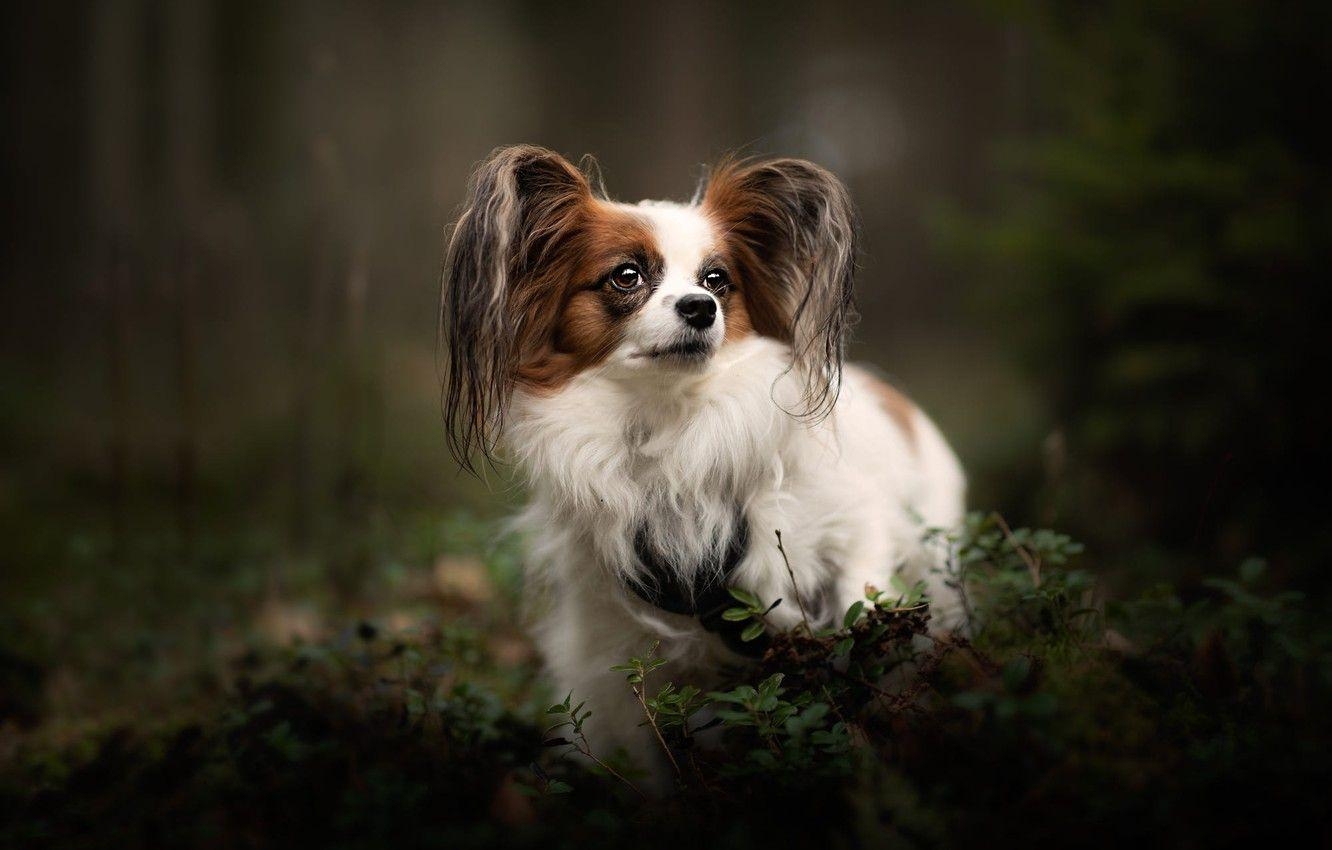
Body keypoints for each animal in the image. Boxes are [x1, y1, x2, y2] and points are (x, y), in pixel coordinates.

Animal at [442, 146, 964, 788]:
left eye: (717, 280)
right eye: (627, 276)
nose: (700, 307)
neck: (671, 421)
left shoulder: (852, 520)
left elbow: (861, 591)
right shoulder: (620, 643)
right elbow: (648, 752)